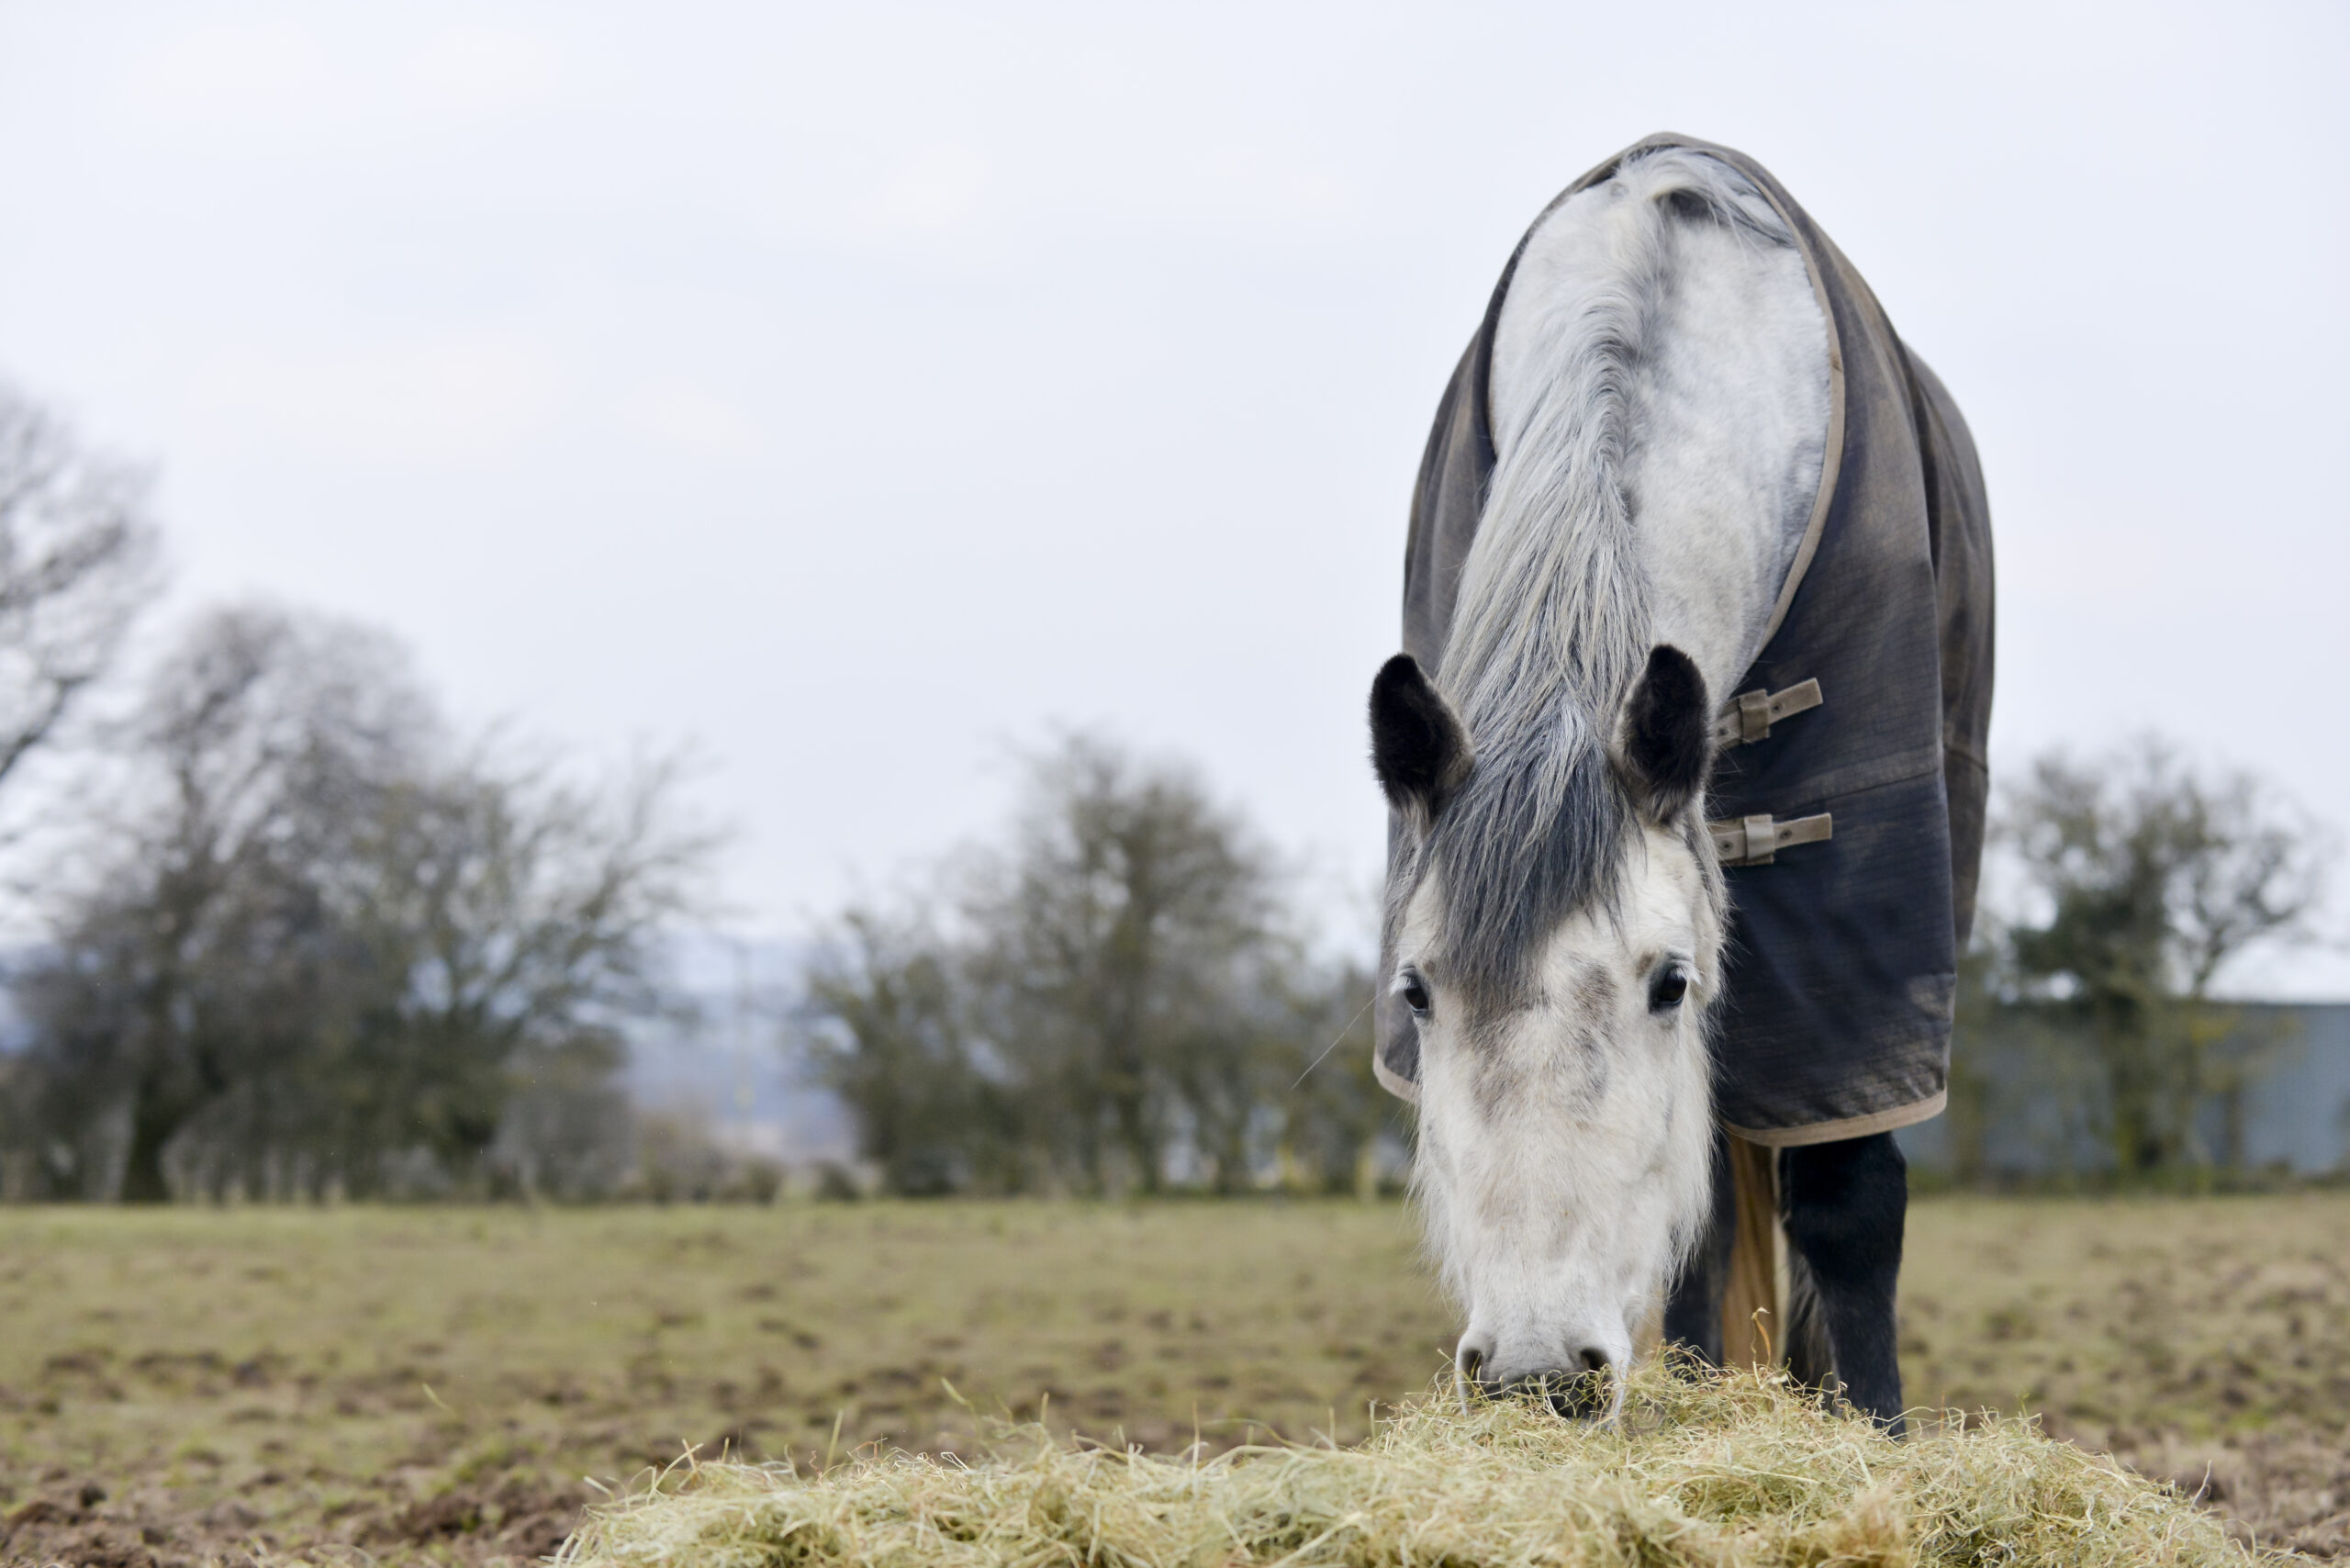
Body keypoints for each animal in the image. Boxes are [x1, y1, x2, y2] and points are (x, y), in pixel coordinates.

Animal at [1366, 135, 1994, 1431]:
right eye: (1414, 992)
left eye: (1668, 984)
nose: (1536, 1375)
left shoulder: (1860, 942)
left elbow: (1851, 1199)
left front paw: (1875, 1430)